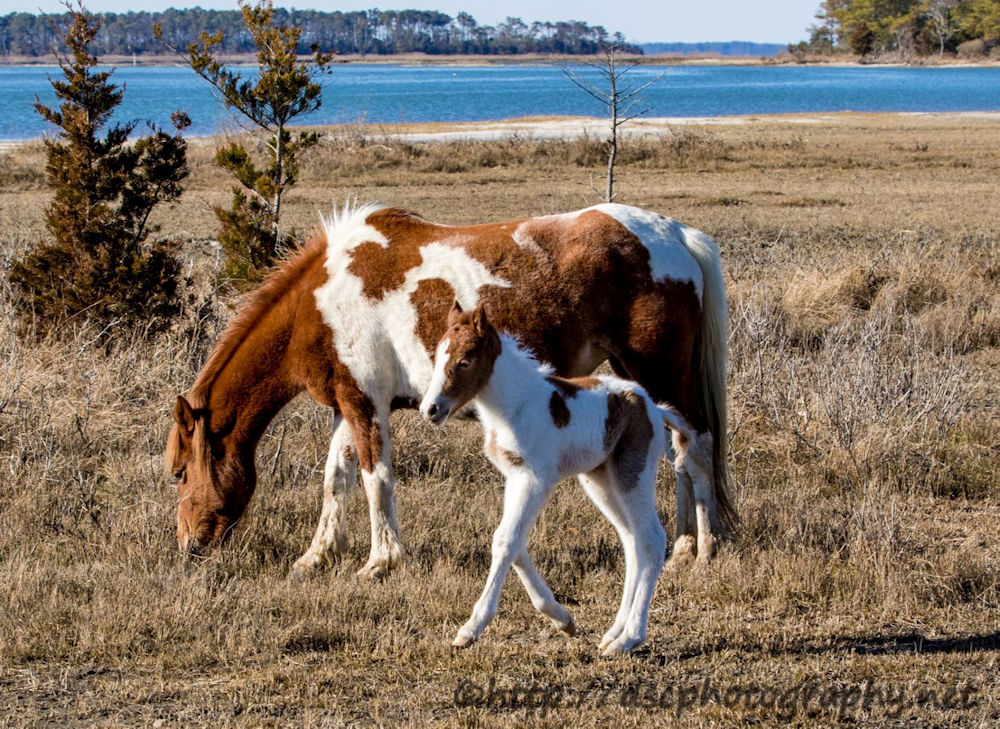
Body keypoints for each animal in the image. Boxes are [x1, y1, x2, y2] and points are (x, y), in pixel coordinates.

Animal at [166, 202, 735, 579]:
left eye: (179, 473)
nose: (188, 546)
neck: (322, 300)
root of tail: (677, 234)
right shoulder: (348, 403)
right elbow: (336, 479)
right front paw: (316, 556)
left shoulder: (366, 404)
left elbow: (376, 480)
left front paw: (380, 562)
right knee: (681, 452)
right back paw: (683, 546)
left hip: (659, 373)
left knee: (697, 446)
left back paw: (704, 549)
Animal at [421, 301, 709, 654]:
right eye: (437, 355)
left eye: (465, 361)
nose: (430, 409)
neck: (516, 405)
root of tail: (655, 408)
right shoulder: (514, 478)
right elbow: (515, 542)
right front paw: (563, 620)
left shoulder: (534, 480)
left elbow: (505, 540)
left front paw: (471, 629)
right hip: (601, 482)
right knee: (632, 542)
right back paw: (614, 632)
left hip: (633, 474)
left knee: (652, 539)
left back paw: (629, 638)